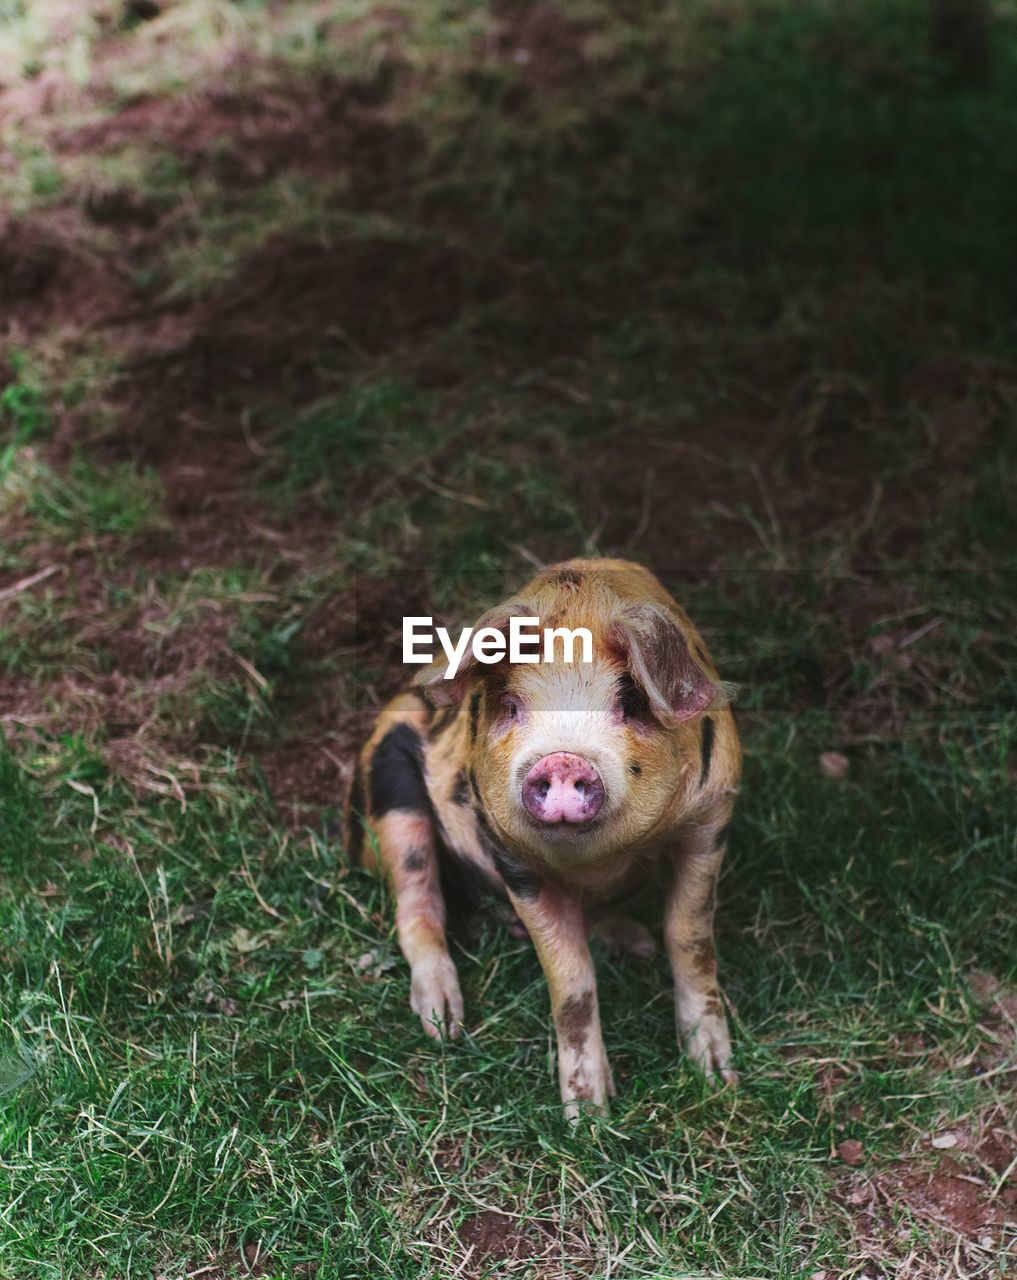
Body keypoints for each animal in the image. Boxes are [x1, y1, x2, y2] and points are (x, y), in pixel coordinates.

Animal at [347, 558, 741, 1111]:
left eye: (631, 704)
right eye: (512, 706)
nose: (561, 759)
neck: (597, 862)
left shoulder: (710, 819)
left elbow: (691, 939)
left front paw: (718, 1077)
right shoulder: (513, 862)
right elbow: (572, 982)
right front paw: (590, 1113)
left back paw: (636, 944)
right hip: (389, 789)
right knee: (417, 903)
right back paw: (442, 1023)